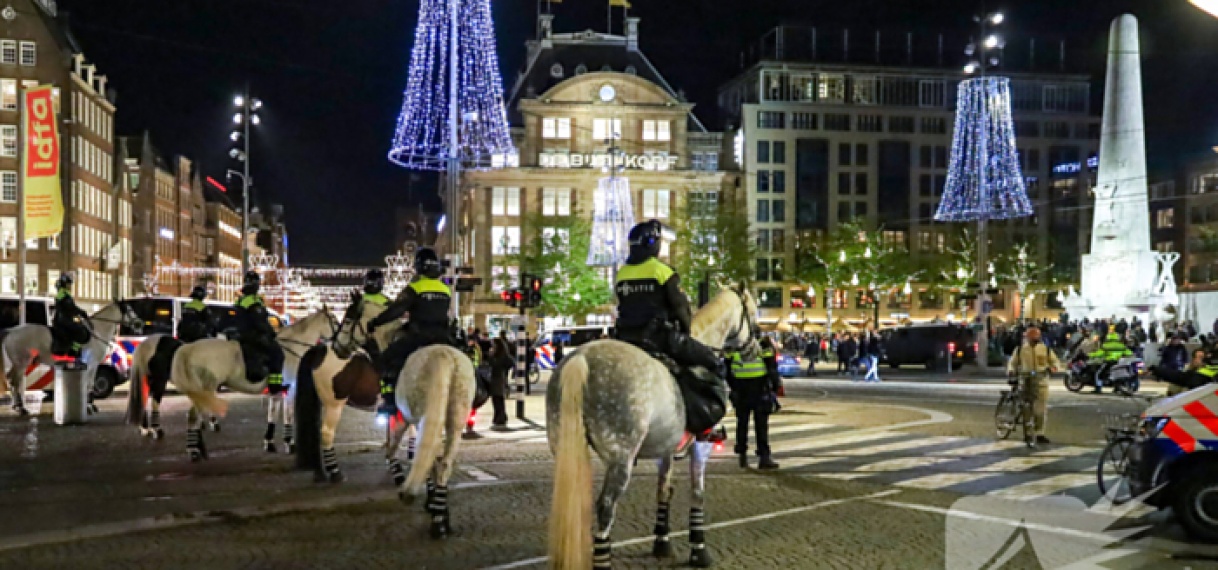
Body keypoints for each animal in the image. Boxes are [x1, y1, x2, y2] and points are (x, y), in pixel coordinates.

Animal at [0, 300, 139, 416]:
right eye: (129, 309)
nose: (139, 323)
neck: (97, 332)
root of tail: (11, 331)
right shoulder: (92, 364)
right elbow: (89, 384)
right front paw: (89, 407)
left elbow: (89, 384)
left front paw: (90, 406)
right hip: (22, 363)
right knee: (14, 382)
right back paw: (21, 408)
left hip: (18, 364)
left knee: (12, 380)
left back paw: (17, 406)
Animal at [166, 306, 338, 462]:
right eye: (335, 320)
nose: (340, 344)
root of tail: (188, 347)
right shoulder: (290, 390)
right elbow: (287, 416)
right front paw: (289, 443)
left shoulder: (277, 392)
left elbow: (272, 414)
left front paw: (269, 442)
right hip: (206, 389)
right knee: (194, 417)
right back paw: (194, 451)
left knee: (194, 416)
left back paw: (200, 449)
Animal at [548, 289, 755, 570]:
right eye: (753, 311)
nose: (755, 348)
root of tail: (581, 359)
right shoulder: (701, 447)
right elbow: (697, 494)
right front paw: (699, 550)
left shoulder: (665, 448)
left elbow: (663, 490)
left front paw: (662, 542)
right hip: (620, 458)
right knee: (605, 507)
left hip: (564, 450)